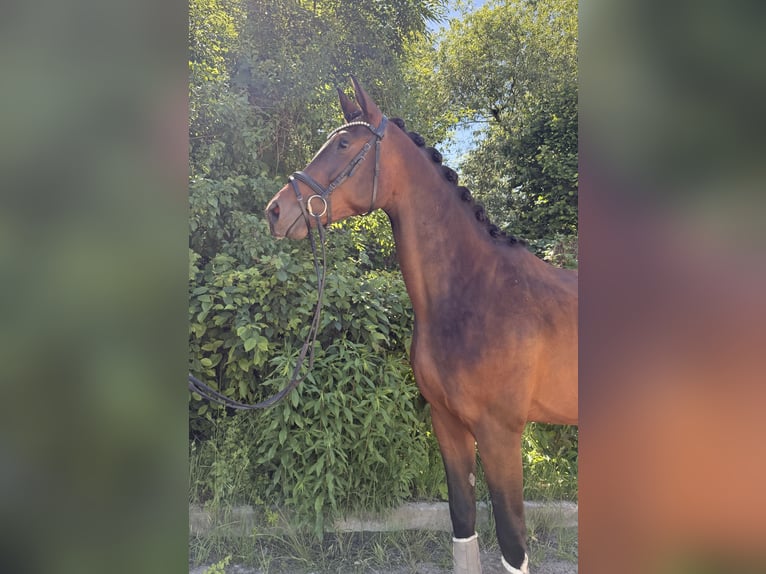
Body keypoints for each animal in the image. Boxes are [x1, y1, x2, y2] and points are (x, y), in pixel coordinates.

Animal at [265, 78, 578, 574]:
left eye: (343, 144)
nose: (275, 211)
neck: (477, 292)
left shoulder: (501, 433)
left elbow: (512, 543)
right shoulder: (447, 424)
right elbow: (463, 526)